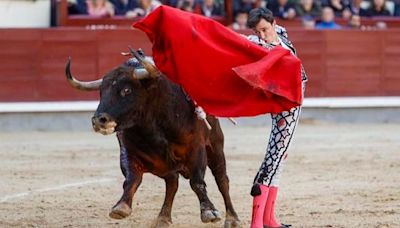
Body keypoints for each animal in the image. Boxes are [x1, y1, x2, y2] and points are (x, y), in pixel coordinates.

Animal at [65, 50, 241, 228]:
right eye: (101, 92)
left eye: (126, 90)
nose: (98, 120)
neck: (151, 126)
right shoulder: (129, 153)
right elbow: (132, 179)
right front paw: (121, 207)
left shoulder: (196, 149)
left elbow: (197, 181)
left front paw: (209, 212)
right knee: (172, 183)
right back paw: (163, 218)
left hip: (215, 147)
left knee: (222, 180)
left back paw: (232, 218)